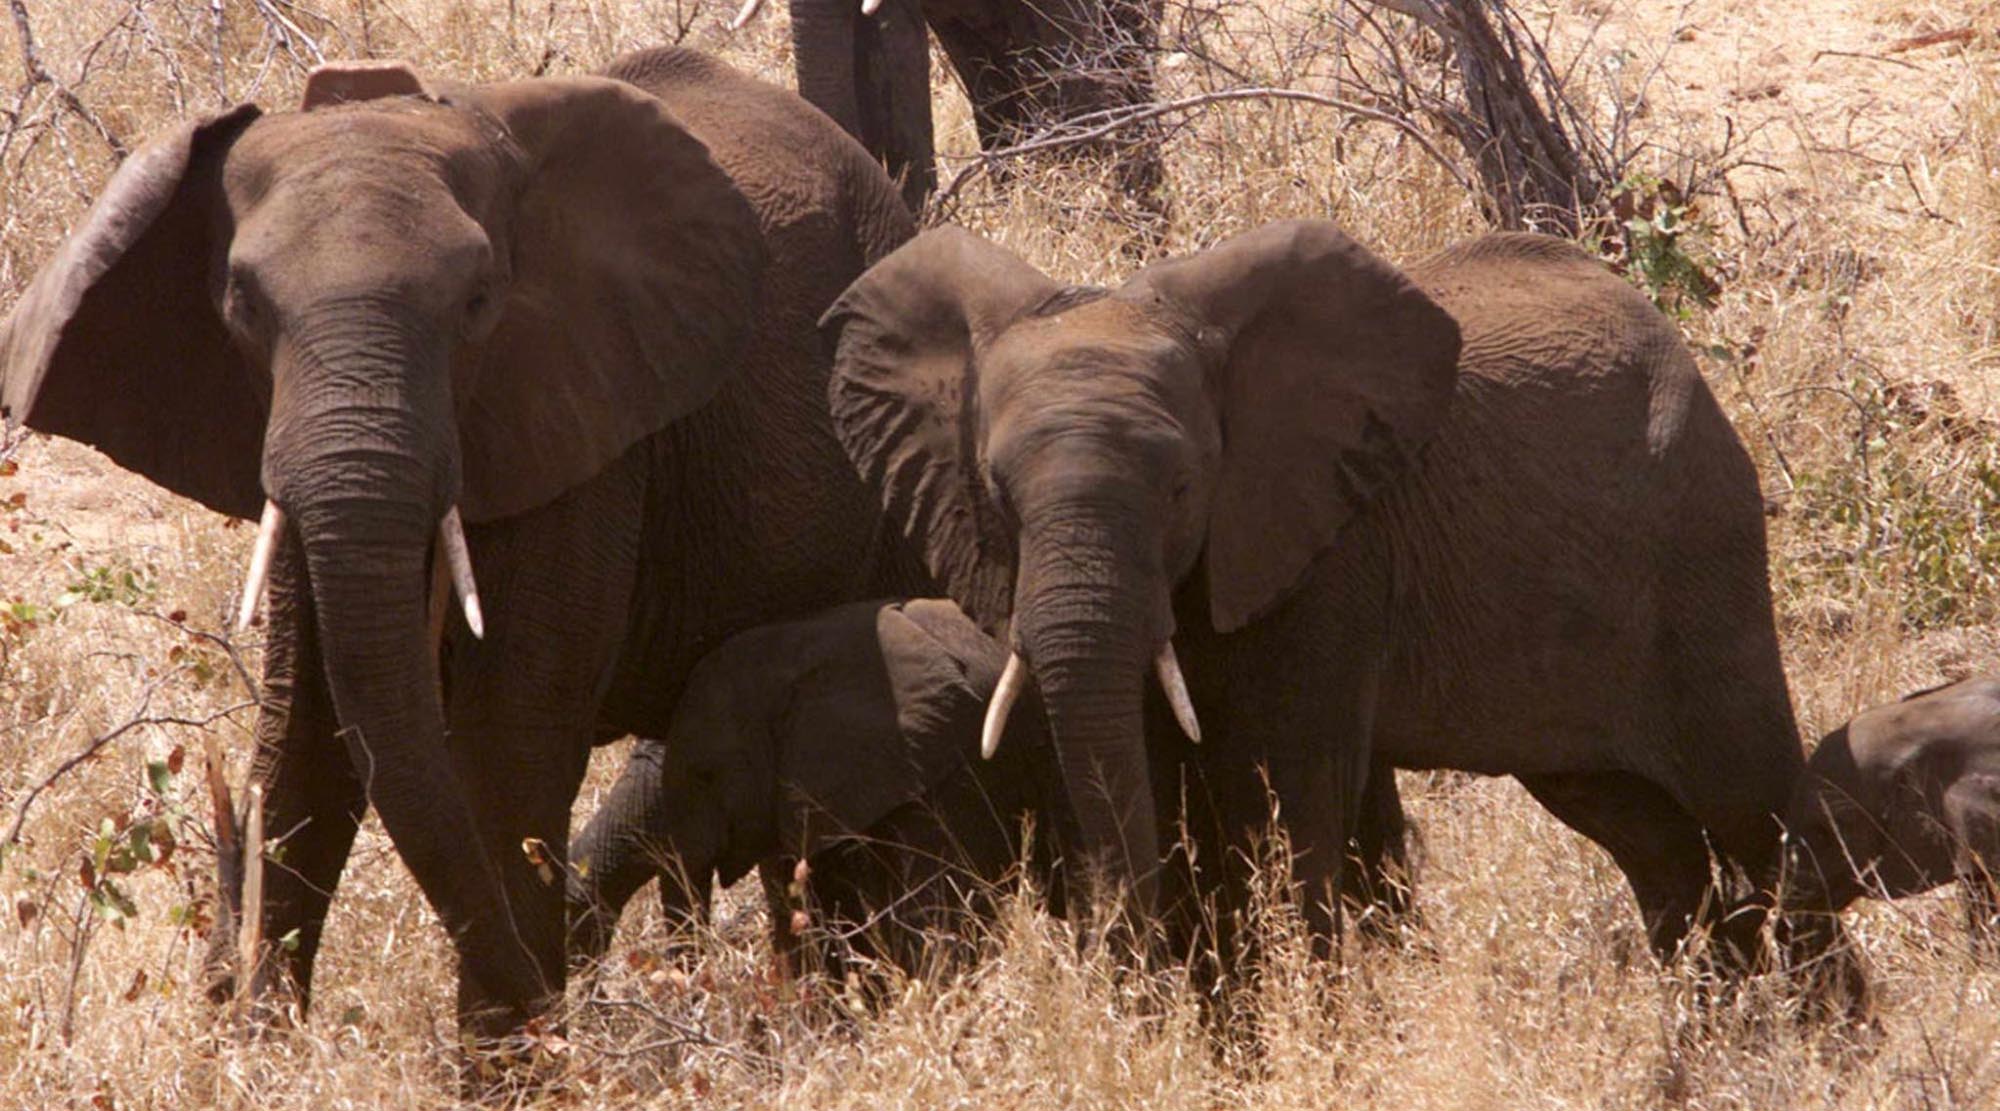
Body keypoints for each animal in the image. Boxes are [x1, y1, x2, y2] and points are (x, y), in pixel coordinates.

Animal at [0, 46, 928, 1040]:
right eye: (241, 304)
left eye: (480, 301)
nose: (557, 1016)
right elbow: (308, 735)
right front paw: (258, 1045)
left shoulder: (585, 422)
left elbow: (508, 741)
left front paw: (513, 1058)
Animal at [819, 220, 1862, 1005]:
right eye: (997, 493)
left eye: (1184, 489)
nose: (1127, 978)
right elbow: (1155, 766)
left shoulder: (1329, 548)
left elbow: (1283, 792)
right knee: (1646, 832)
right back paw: (1718, 1027)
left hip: (1701, 540)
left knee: (1752, 802)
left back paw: (1822, 1037)